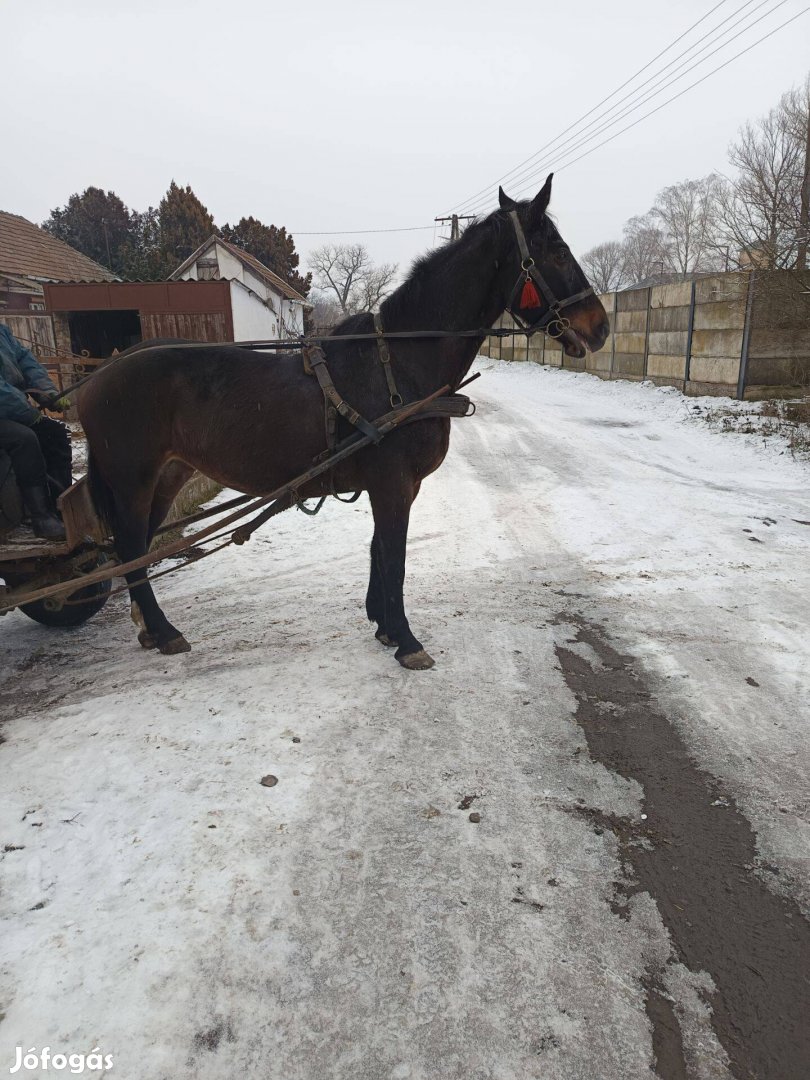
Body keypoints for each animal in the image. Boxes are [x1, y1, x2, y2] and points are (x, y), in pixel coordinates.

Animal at [79, 176, 609, 665]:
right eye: (558, 252)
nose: (600, 327)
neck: (399, 361)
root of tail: (99, 372)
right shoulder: (392, 481)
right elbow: (394, 556)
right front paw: (407, 640)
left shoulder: (394, 483)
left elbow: (378, 551)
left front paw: (385, 627)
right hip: (133, 479)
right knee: (132, 547)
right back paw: (164, 631)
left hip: (166, 477)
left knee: (137, 547)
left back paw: (150, 628)